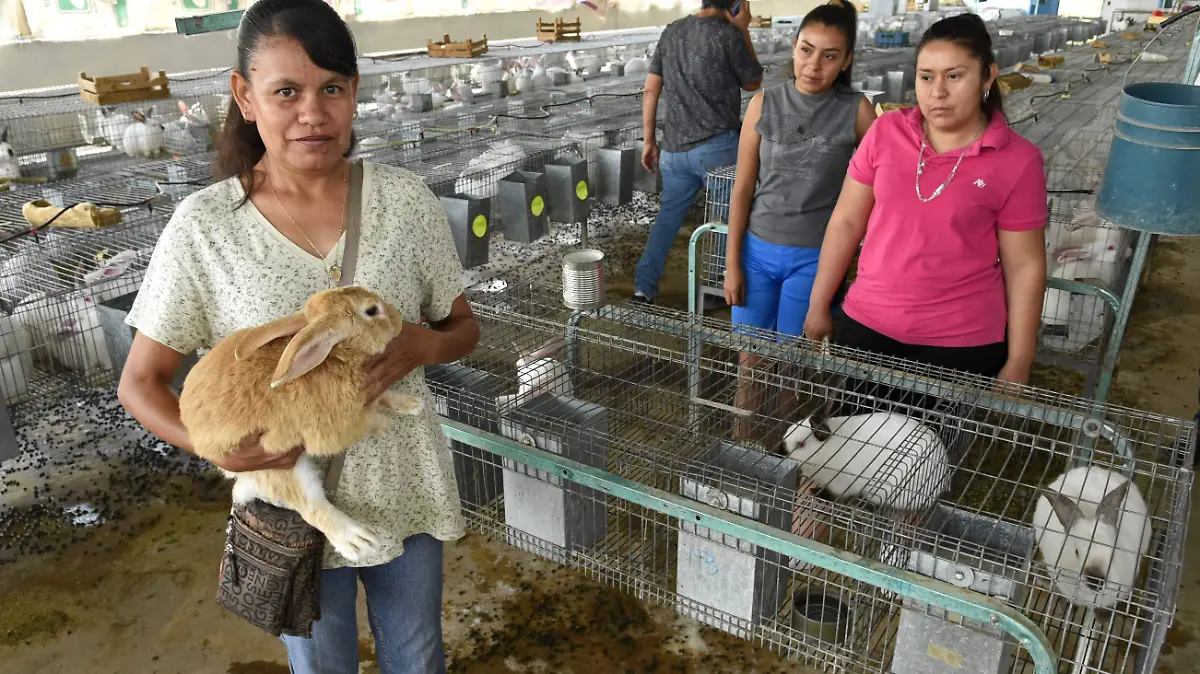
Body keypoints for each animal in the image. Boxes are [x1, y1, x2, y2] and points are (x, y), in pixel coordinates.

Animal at [175, 283, 424, 561]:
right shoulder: (335, 428)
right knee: (311, 505)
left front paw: (413, 404)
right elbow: (366, 419)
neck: (335, 354)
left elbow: (381, 396)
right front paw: (383, 426)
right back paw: (359, 541)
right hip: (277, 466)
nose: (398, 318)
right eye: (372, 310)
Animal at [782, 388, 950, 508]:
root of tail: (943, 480)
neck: (827, 451)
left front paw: (817, 493)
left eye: (800, 444)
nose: (782, 449)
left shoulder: (841, 484)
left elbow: (835, 495)